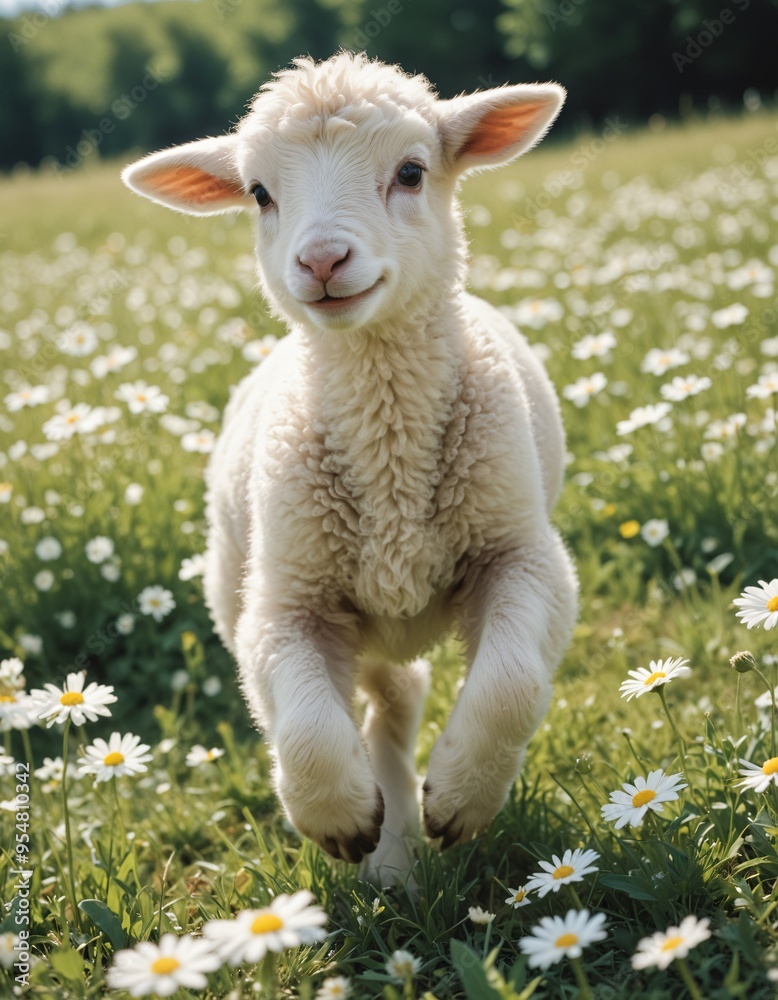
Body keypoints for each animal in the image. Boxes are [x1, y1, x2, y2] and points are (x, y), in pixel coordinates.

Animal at [123, 51, 578, 883]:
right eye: (259, 193)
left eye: (411, 171)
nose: (322, 260)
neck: (389, 455)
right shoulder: (285, 600)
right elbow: (304, 728)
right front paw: (337, 818)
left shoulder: (522, 554)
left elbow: (510, 684)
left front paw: (460, 797)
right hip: (249, 582)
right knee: (381, 705)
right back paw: (391, 850)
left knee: (400, 702)